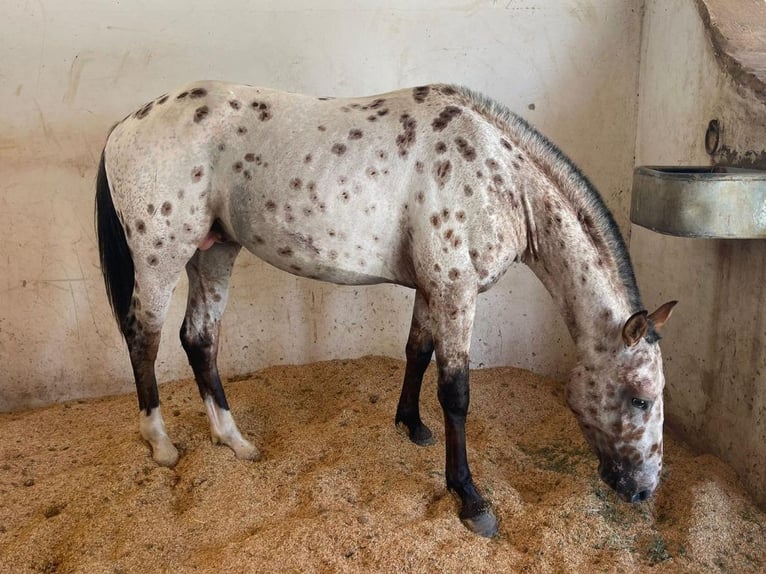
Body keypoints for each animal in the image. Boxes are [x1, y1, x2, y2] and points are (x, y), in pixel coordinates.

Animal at [96, 82, 680, 540]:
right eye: (640, 398)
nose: (643, 491)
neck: (499, 174)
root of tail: (125, 126)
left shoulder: (433, 288)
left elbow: (417, 351)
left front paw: (410, 425)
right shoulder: (456, 291)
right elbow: (456, 393)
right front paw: (470, 499)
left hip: (214, 251)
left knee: (199, 339)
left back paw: (233, 440)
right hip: (162, 257)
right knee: (144, 338)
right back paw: (161, 444)